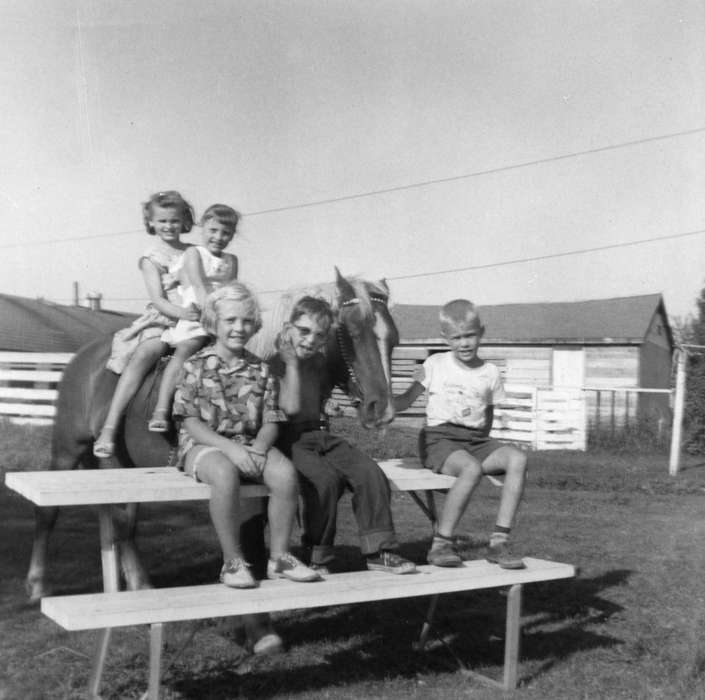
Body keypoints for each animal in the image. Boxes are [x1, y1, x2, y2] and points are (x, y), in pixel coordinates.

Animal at [24, 270, 398, 600]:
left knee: (123, 523)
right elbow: (249, 533)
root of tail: (83, 357)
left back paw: (137, 584)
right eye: (352, 332)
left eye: (393, 338)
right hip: (68, 450)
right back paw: (39, 584)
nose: (382, 410)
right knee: (51, 515)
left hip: (124, 466)